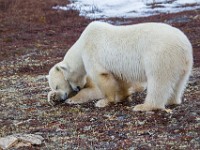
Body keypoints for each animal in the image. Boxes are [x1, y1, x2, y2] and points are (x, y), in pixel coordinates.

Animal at [47, 20, 193, 110]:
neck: (82, 43)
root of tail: (184, 45)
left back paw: (144, 106)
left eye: (60, 83)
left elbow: (101, 76)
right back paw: (171, 100)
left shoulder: (92, 52)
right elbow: (121, 79)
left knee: (158, 81)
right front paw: (123, 97)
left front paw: (104, 101)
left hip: (160, 56)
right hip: (183, 64)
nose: (77, 88)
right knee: (179, 83)